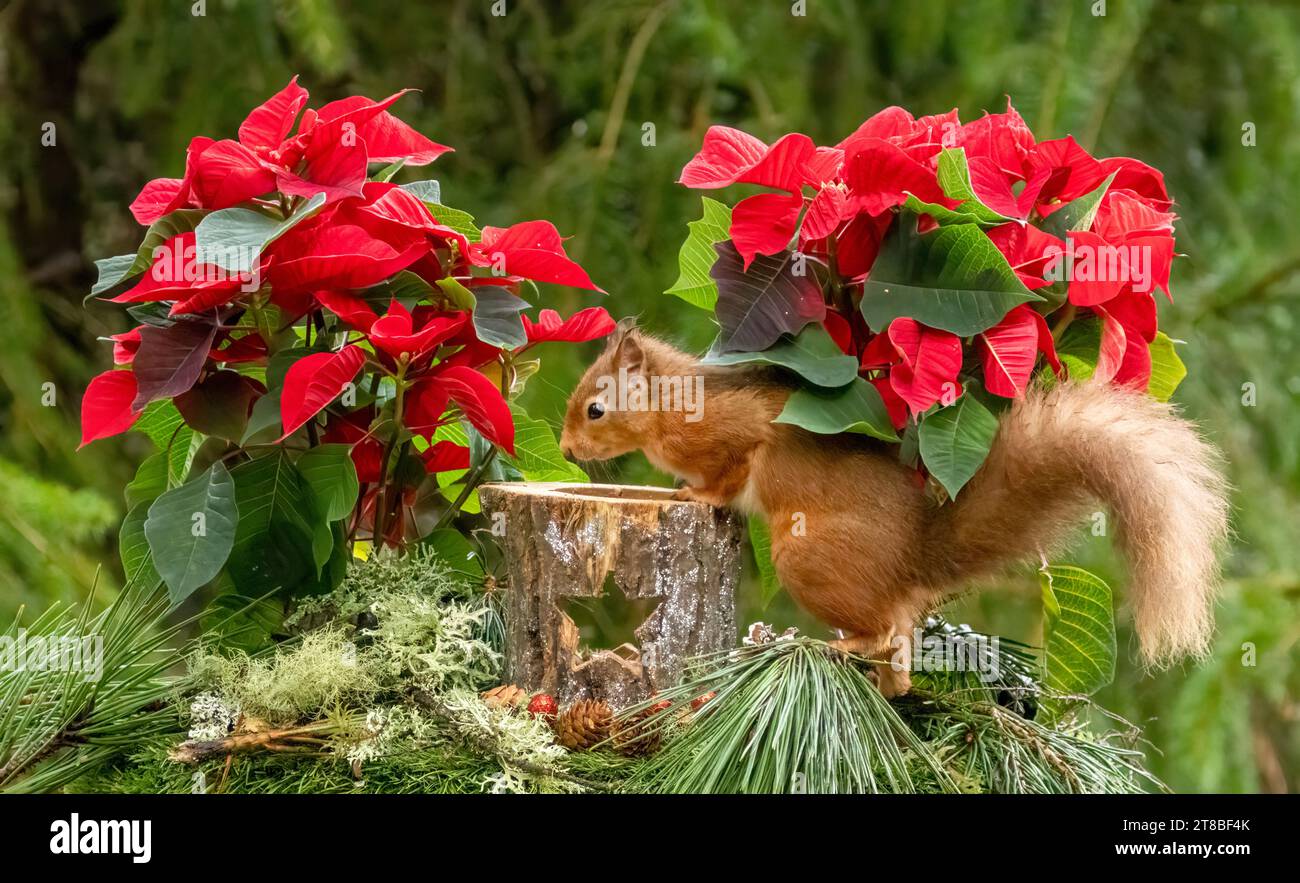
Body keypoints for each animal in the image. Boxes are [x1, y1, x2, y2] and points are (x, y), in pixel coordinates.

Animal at [559, 323, 1230, 697]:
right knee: (899, 643)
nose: (565, 451)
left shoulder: (733, 440)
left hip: (805, 556)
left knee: (878, 629)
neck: (673, 405)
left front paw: (694, 495)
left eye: (595, 409)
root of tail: (915, 555)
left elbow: (726, 477)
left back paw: (839, 648)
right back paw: (892, 688)